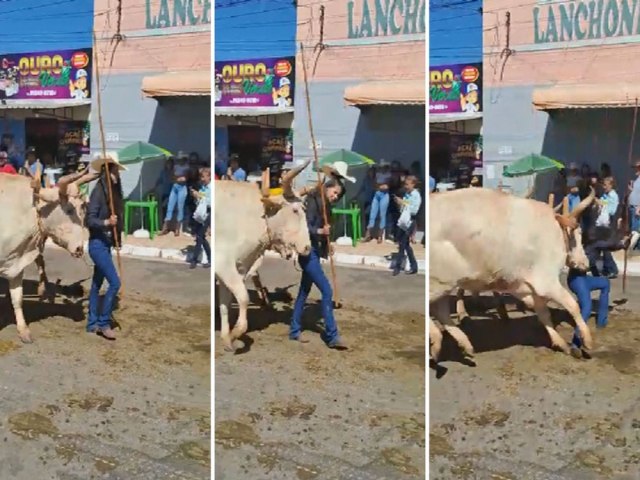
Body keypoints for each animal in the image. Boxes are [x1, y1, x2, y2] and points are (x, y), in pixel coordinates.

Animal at [430, 186, 596, 362]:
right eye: (578, 235)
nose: (586, 264)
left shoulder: (522, 285)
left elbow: (543, 312)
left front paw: (560, 343)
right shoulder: (546, 282)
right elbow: (573, 305)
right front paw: (587, 340)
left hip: (444, 284)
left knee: (440, 312)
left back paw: (461, 344)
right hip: (441, 282)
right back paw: (438, 338)